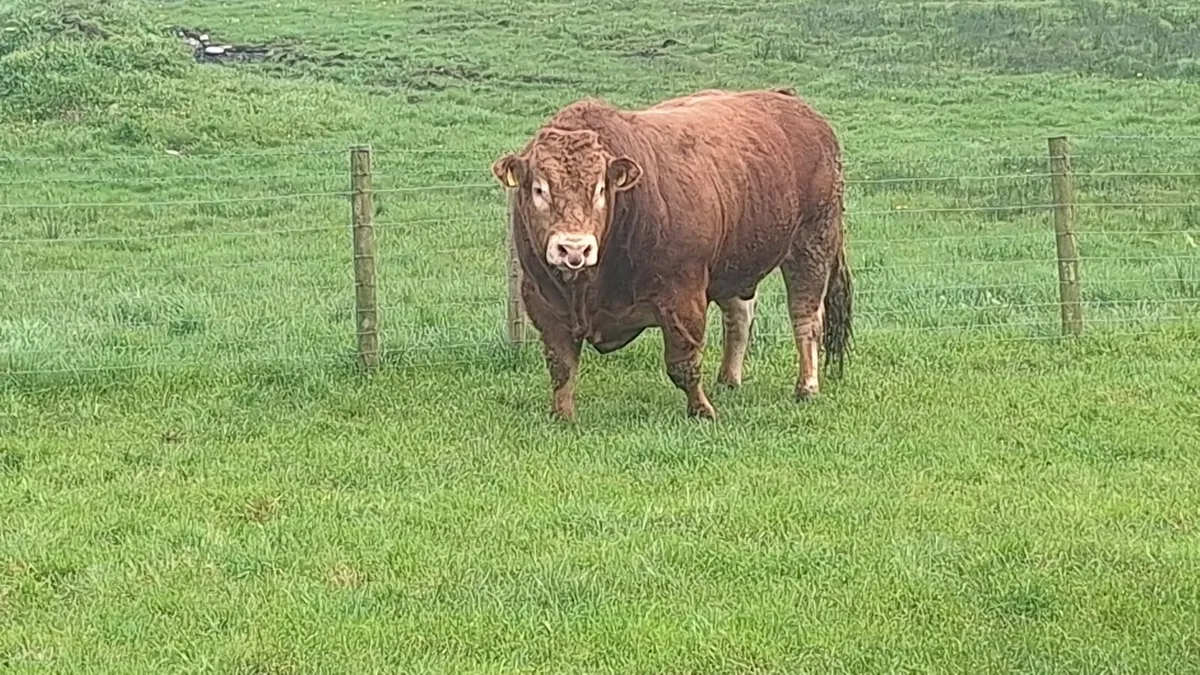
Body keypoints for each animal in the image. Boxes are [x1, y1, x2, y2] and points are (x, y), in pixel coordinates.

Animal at [490, 87, 853, 420]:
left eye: (600, 188)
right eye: (539, 189)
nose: (574, 247)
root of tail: (790, 100)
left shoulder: (683, 295)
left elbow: (683, 362)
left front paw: (702, 410)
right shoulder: (541, 299)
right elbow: (561, 366)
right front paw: (562, 415)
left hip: (813, 242)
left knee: (806, 317)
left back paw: (806, 386)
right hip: (735, 262)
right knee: (740, 315)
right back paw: (728, 379)